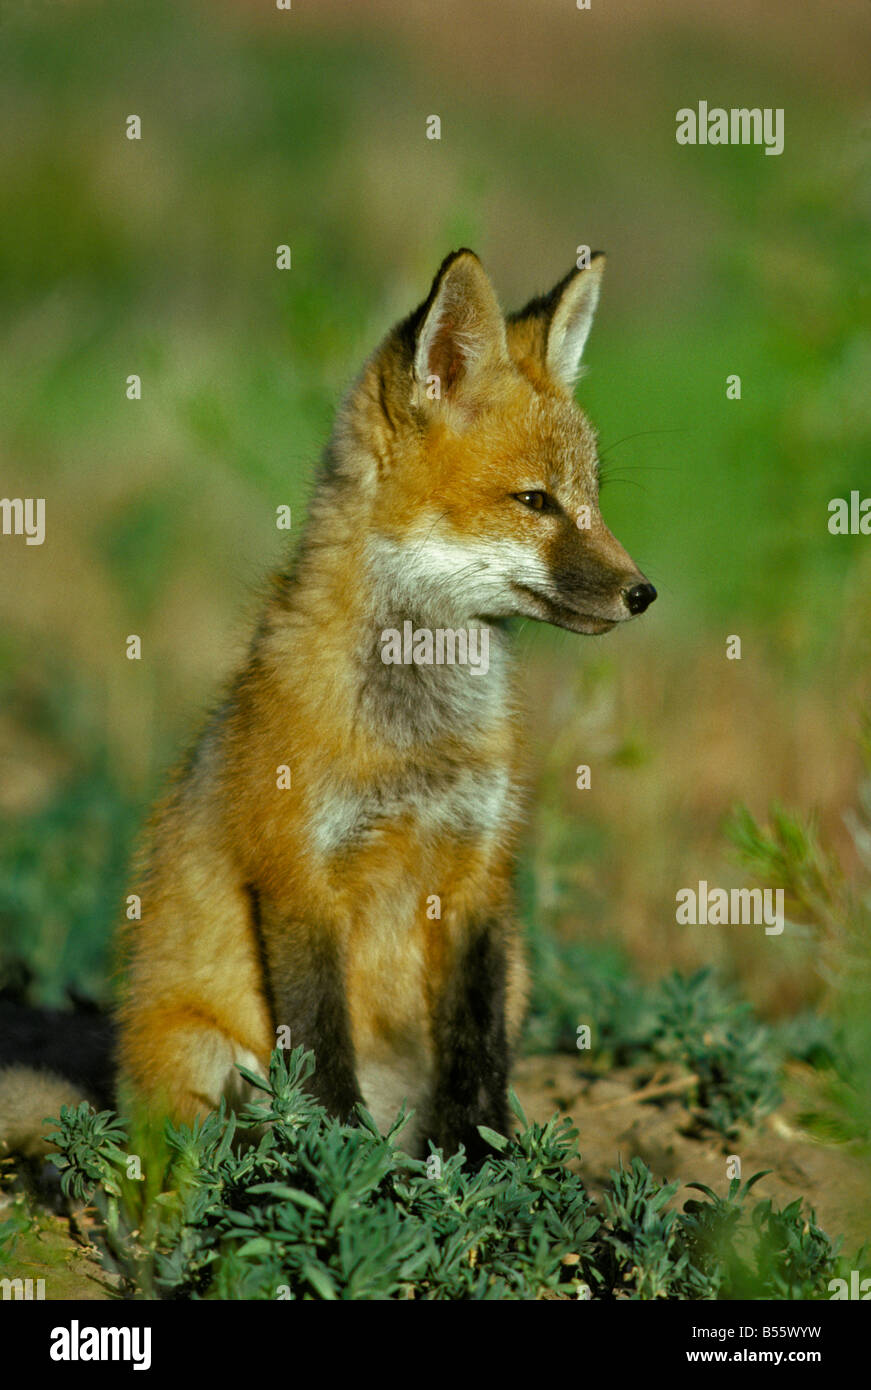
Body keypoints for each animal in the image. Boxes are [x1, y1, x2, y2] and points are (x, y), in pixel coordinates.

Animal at [0, 249, 656, 1162]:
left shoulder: (477, 877)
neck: (416, 743)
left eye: (591, 498)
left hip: (518, 967)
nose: (642, 593)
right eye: (535, 502)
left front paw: (482, 1161)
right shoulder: (298, 879)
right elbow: (319, 1048)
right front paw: (340, 1161)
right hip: (201, 1057)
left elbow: (476, 1047)